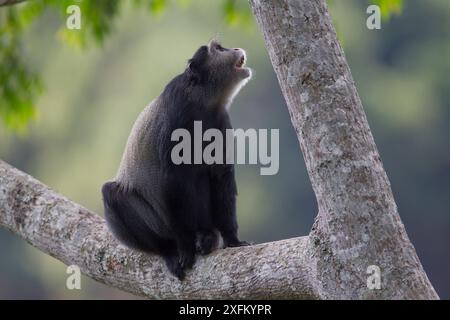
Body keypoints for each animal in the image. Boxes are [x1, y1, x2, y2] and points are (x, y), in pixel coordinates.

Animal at [100, 40, 251, 280]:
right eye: (218, 49)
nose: (234, 49)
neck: (201, 101)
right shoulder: (177, 112)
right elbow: (172, 181)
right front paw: (185, 249)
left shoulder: (221, 121)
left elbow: (221, 176)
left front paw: (233, 240)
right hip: (162, 225)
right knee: (111, 194)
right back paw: (169, 249)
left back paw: (207, 236)